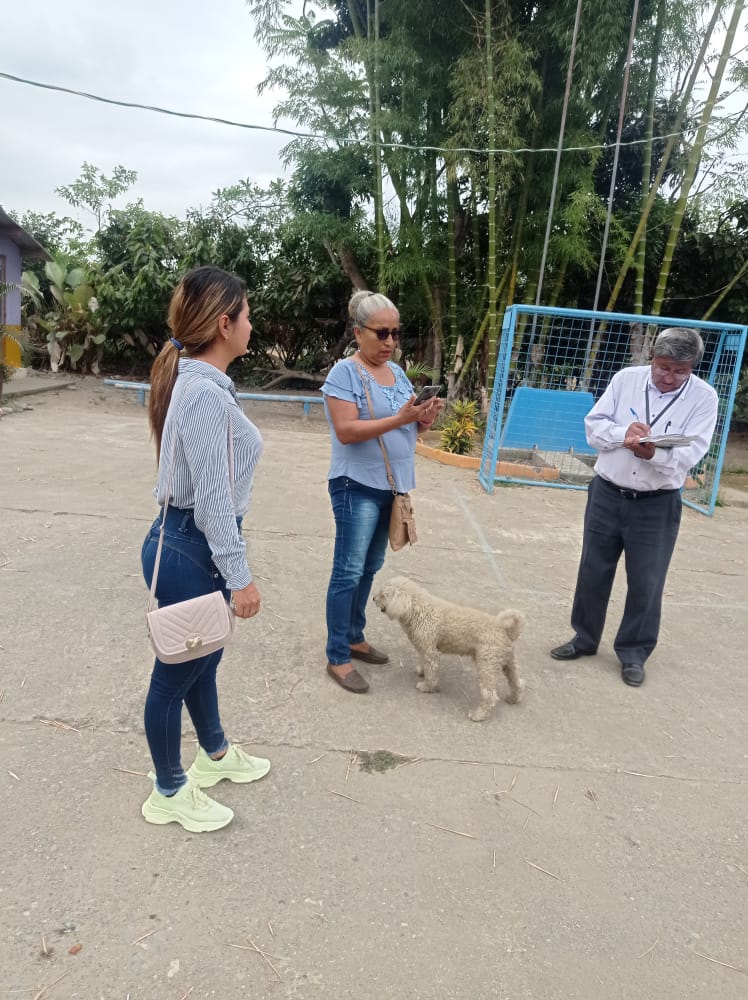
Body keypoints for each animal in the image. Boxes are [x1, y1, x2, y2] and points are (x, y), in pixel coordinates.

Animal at [372, 576, 524, 722]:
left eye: (384, 595)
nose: (373, 598)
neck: (418, 609)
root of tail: (504, 629)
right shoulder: (425, 647)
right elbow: (423, 662)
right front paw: (421, 671)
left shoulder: (430, 651)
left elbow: (431, 672)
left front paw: (427, 687)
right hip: (508, 663)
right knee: (517, 683)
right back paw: (513, 699)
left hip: (487, 665)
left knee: (490, 696)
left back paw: (478, 715)